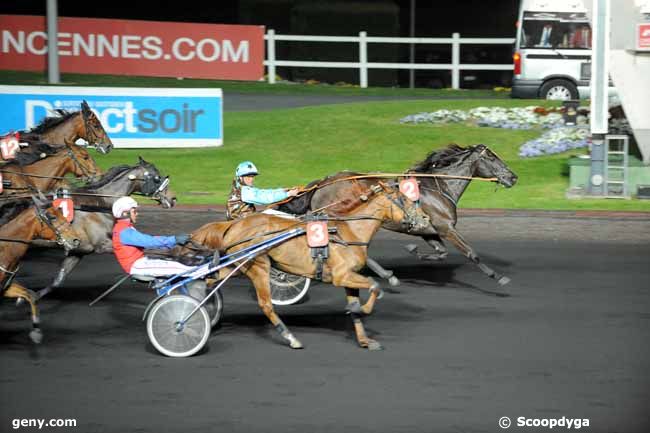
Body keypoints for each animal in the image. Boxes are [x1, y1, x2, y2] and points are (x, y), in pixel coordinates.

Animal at [0, 197, 81, 342]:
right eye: (52, 217)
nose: (75, 240)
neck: (3, 249)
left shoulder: (5, 287)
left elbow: (30, 294)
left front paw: (36, 331)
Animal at [190, 181, 428, 350]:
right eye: (403, 199)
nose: (425, 218)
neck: (349, 232)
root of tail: (233, 225)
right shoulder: (342, 276)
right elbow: (374, 286)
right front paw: (364, 307)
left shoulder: (349, 278)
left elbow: (358, 306)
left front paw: (364, 339)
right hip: (258, 265)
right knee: (266, 304)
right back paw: (290, 337)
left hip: (236, 266)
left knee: (209, 280)